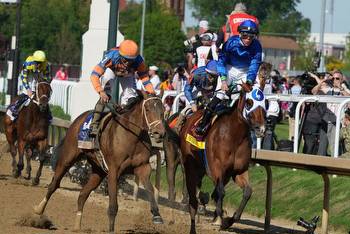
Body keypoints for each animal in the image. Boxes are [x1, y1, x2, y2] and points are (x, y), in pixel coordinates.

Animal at [34, 91, 166, 234]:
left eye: (163, 110)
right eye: (147, 109)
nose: (159, 133)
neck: (132, 137)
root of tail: (78, 119)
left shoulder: (142, 167)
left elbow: (150, 189)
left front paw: (157, 215)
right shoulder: (114, 171)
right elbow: (113, 207)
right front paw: (111, 230)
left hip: (98, 171)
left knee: (82, 195)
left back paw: (77, 226)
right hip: (67, 158)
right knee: (54, 185)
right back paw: (38, 209)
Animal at [170, 61, 270, 232]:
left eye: (265, 103)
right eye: (249, 102)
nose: (261, 129)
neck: (235, 136)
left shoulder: (238, 171)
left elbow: (247, 191)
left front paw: (228, 220)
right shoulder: (216, 168)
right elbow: (221, 191)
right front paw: (220, 218)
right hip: (190, 163)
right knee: (193, 186)